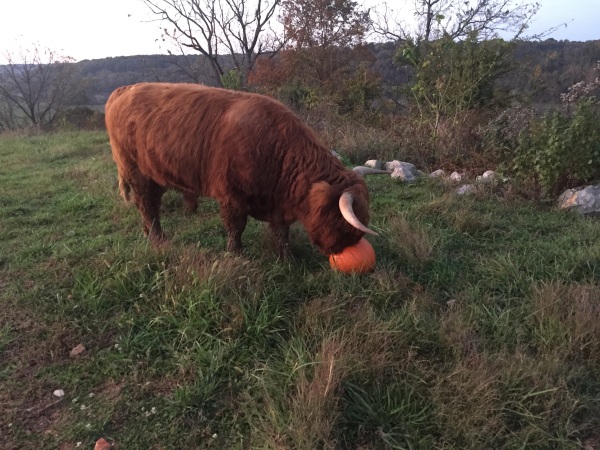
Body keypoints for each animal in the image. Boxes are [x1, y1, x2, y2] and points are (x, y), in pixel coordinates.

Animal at [105, 81, 382, 256]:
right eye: (342, 223)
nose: (348, 247)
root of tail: (124, 90)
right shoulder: (231, 195)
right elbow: (236, 227)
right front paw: (235, 253)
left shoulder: (278, 203)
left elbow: (282, 232)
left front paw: (287, 259)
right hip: (136, 172)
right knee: (148, 205)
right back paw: (158, 239)